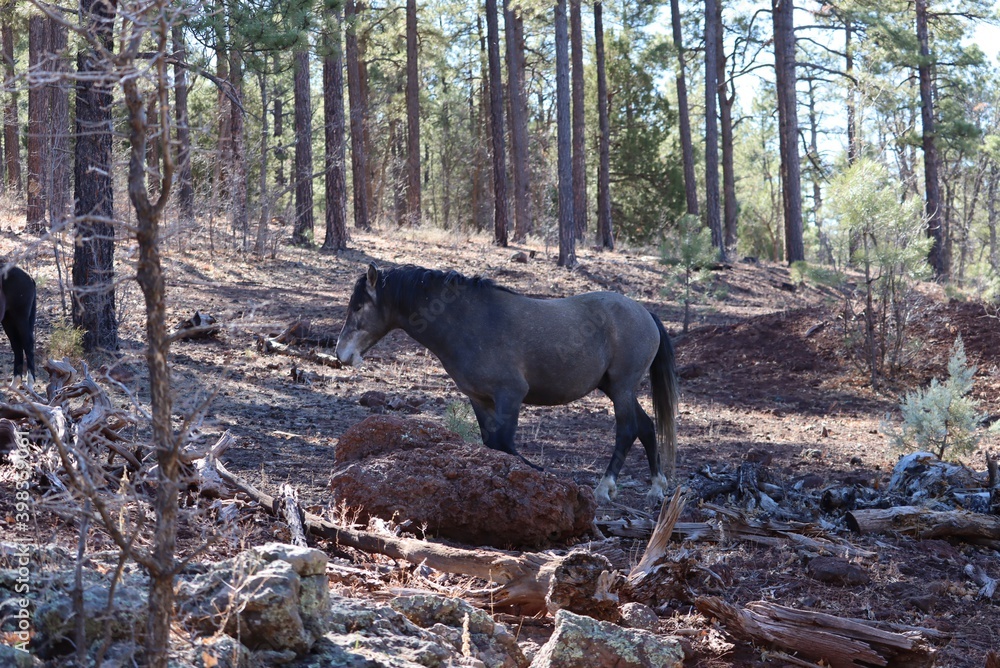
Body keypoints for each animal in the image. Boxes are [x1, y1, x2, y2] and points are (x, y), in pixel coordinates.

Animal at [336, 264, 680, 504]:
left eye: (359, 307)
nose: (342, 354)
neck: (469, 322)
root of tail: (645, 312)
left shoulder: (510, 395)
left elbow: (504, 442)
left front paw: (537, 475)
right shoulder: (480, 399)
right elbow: (493, 444)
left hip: (621, 387)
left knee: (627, 430)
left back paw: (605, 488)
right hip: (614, 387)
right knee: (646, 426)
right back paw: (657, 488)